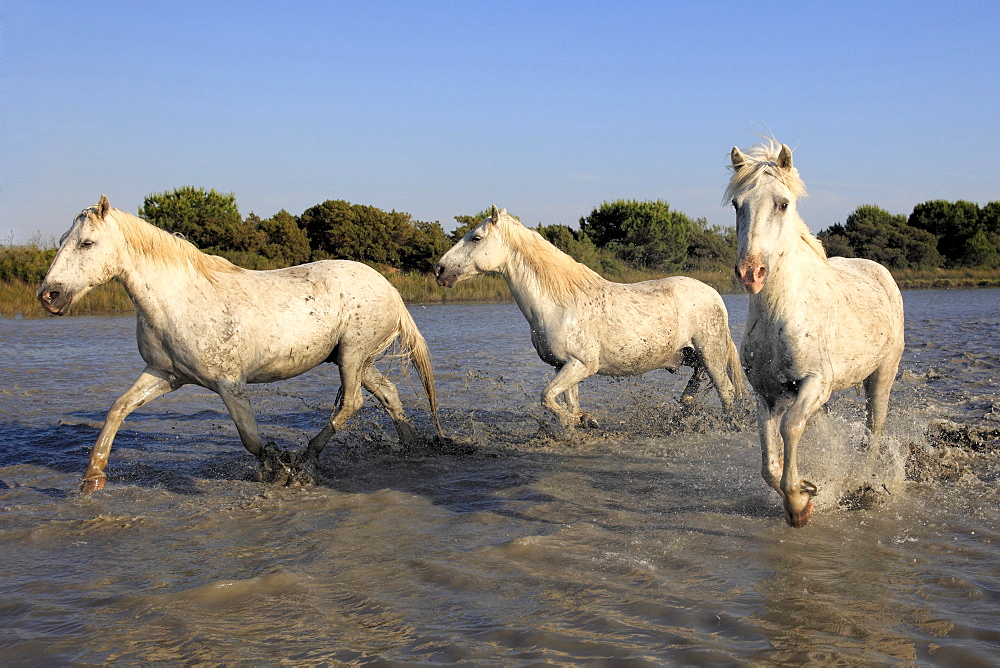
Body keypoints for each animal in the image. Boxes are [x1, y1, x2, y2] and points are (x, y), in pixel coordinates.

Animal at [39, 196, 444, 494]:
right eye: (61, 241)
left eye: (87, 243)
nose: (49, 295)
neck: (179, 299)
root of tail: (389, 286)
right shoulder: (164, 375)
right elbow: (117, 410)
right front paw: (92, 479)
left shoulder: (229, 383)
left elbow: (250, 437)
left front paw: (280, 468)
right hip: (355, 361)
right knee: (388, 393)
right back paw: (411, 446)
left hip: (352, 357)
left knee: (352, 404)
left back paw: (305, 459)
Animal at [434, 206, 748, 430]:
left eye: (476, 238)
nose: (439, 270)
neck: (558, 305)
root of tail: (714, 294)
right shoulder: (564, 366)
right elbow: (564, 401)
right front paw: (581, 420)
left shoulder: (581, 364)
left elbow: (546, 397)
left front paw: (582, 420)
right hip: (690, 355)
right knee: (700, 380)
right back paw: (686, 404)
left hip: (710, 352)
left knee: (726, 391)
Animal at [728, 140, 908, 528]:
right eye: (737, 204)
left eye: (782, 203)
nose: (751, 272)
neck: (778, 314)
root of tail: (880, 272)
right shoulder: (766, 394)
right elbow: (768, 461)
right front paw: (804, 491)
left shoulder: (815, 383)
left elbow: (791, 427)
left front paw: (798, 503)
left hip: (882, 376)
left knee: (873, 433)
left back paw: (862, 484)